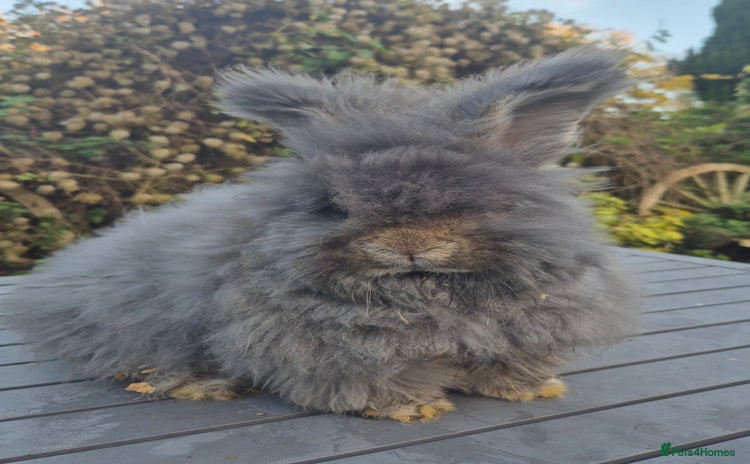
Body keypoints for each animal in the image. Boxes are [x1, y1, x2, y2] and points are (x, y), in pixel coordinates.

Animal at [3, 47, 638, 422]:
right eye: (334, 207)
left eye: (474, 202)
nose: (409, 245)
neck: (423, 297)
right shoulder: (329, 351)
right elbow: (377, 379)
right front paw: (414, 410)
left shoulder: (518, 332)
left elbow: (504, 366)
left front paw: (532, 390)